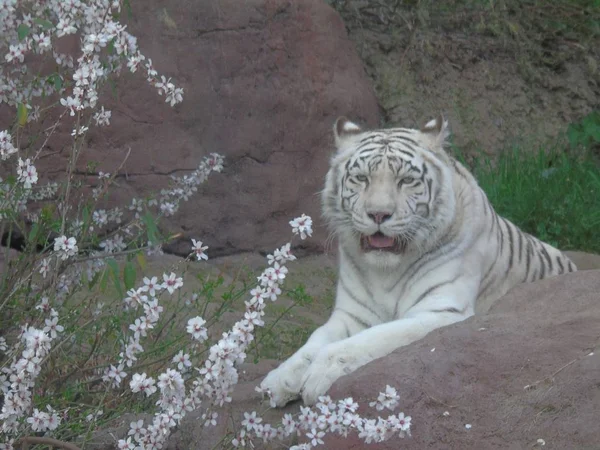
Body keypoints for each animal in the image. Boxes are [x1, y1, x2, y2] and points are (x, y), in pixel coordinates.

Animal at [258, 114, 576, 406]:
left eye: (406, 181)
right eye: (361, 178)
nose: (378, 214)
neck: (385, 270)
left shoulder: (439, 310)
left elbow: (370, 339)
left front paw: (319, 373)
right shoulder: (351, 314)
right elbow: (314, 341)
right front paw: (279, 379)